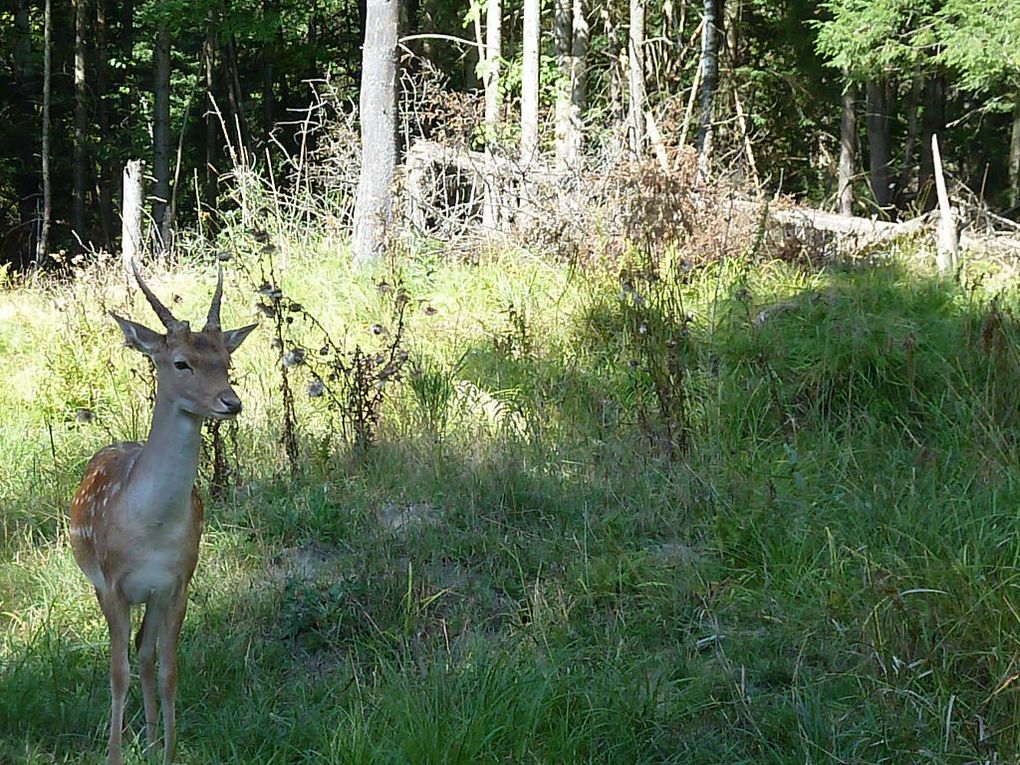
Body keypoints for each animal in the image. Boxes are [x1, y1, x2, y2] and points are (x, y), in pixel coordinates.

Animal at [70, 263, 257, 765]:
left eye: (226, 361)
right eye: (181, 363)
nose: (231, 402)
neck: (150, 529)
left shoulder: (177, 582)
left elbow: (169, 669)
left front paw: (168, 750)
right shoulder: (113, 584)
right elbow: (116, 671)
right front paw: (114, 754)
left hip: (151, 597)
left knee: (146, 654)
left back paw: (152, 739)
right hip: (98, 581)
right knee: (131, 656)